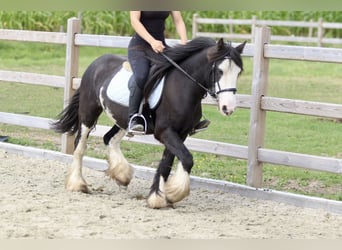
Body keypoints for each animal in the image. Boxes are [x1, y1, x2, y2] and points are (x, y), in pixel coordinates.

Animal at [52, 37, 246, 208]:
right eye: (219, 71)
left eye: (238, 72)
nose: (228, 108)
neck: (182, 87)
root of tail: (97, 62)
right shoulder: (165, 132)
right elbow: (187, 159)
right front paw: (174, 193)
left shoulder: (180, 134)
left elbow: (166, 164)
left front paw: (158, 198)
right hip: (89, 112)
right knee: (80, 145)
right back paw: (77, 184)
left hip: (122, 119)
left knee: (109, 138)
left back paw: (122, 175)